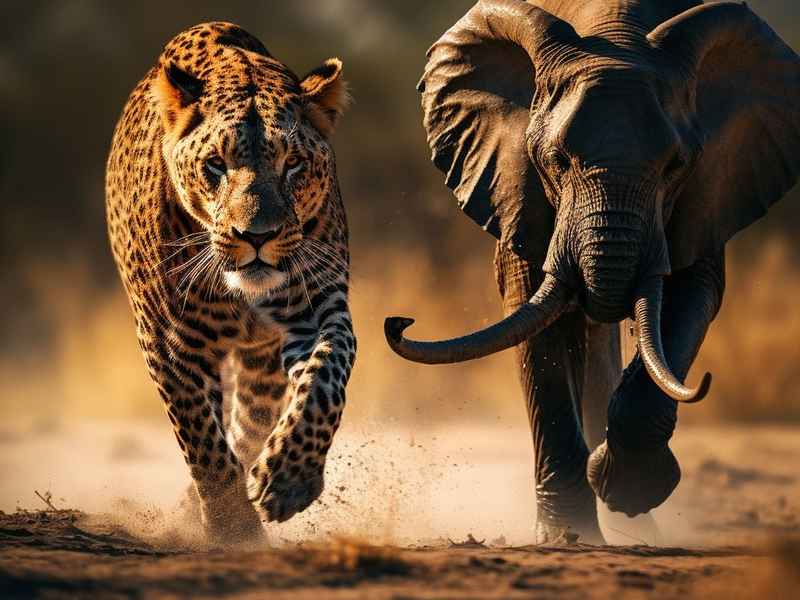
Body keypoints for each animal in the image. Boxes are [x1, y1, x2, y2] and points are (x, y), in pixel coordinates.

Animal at [384, 0, 800, 544]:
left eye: (676, 166)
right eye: (556, 161)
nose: (399, 321)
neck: (617, 31)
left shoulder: (712, 187)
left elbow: (690, 297)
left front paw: (626, 490)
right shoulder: (515, 182)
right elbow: (531, 310)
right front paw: (568, 534)